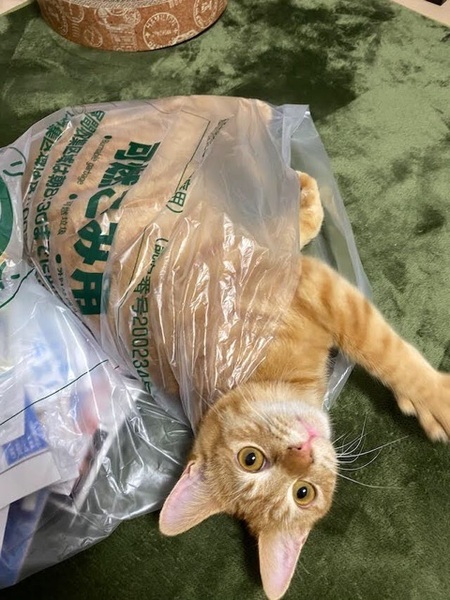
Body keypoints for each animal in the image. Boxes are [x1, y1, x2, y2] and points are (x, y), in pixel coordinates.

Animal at [159, 172, 450, 600]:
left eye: (250, 458)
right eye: (303, 492)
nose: (303, 452)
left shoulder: (307, 282)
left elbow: (384, 353)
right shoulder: (319, 287)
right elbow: (385, 351)